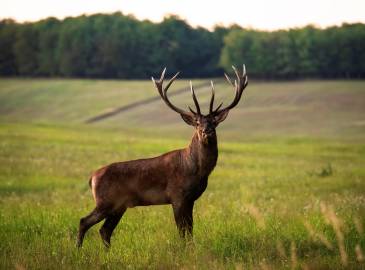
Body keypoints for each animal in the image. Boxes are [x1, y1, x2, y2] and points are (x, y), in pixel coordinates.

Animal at [76, 64, 247, 248]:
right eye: (197, 123)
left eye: (214, 122)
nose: (206, 131)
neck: (196, 170)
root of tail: (92, 178)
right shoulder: (177, 195)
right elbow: (182, 231)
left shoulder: (191, 199)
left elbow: (190, 230)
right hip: (105, 201)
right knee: (84, 221)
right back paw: (78, 250)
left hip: (119, 205)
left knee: (105, 230)